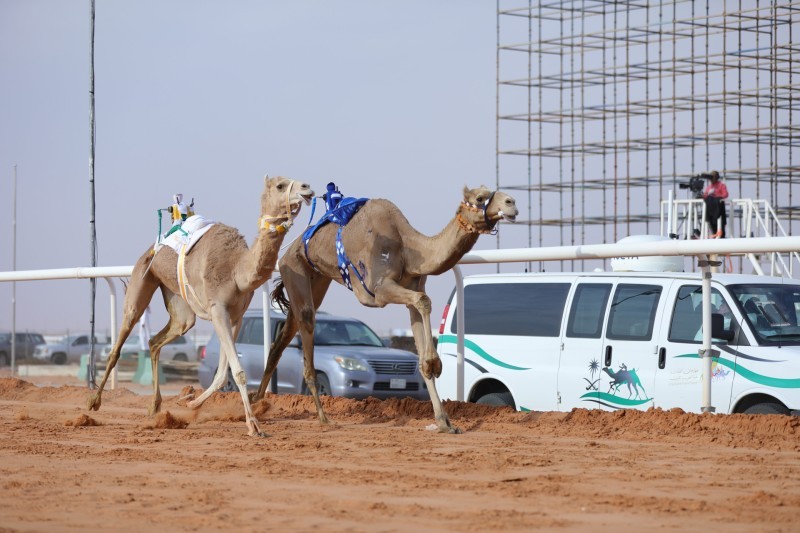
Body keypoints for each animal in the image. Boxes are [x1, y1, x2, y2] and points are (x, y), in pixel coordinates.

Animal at [87, 177, 312, 434]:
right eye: (280, 185)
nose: (307, 188)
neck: (237, 270)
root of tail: (154, 247)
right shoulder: (217, 309)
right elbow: (238, 371)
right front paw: (253, 425)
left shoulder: (236, 315)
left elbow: (223, 373)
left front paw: (192, 403)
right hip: (142, 276)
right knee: (121, 338)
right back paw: (94, 401)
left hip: (180, 304)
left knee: (157, 340)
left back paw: (155, 407)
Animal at [255, 185, 520, 434]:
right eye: (479, 198)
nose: (512, 203)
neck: (407, 246)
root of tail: (288, 251)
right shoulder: (379, 289)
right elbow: (423, 300)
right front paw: (435, 364)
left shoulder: (411, 288)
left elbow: (420, 311)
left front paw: (445, 422)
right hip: (294, 267)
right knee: (307, 322)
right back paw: (321, 417)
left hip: (317, 278)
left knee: (284, 335)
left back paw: (257, 404)